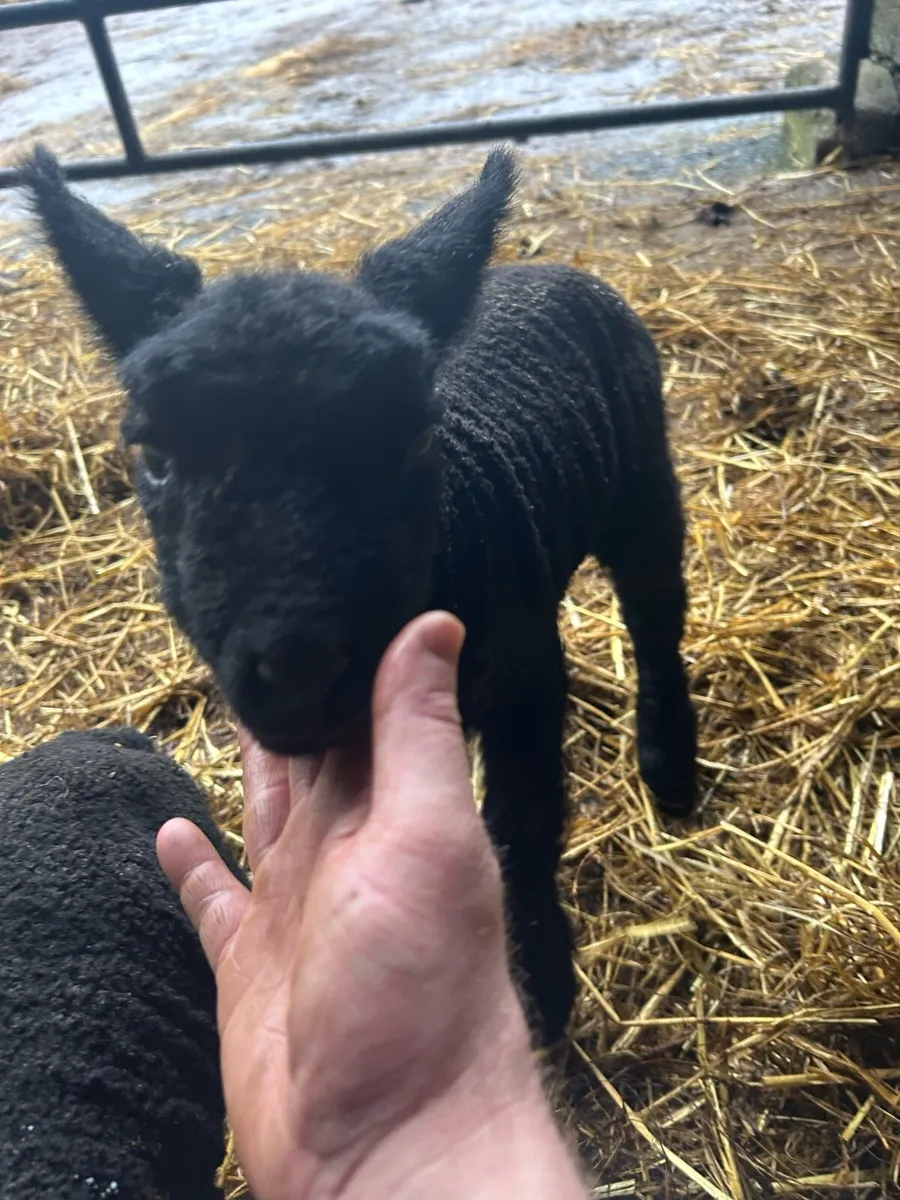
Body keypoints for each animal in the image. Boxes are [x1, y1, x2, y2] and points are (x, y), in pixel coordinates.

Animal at [20, 145, 697, 1045]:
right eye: (154, 455)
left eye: (414, 435)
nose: (301, 670)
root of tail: (547, 268)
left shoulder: (521, 685)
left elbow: (525, 830)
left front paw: (543, 988)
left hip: (643, 482)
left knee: (655, 609)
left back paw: (669, 764)